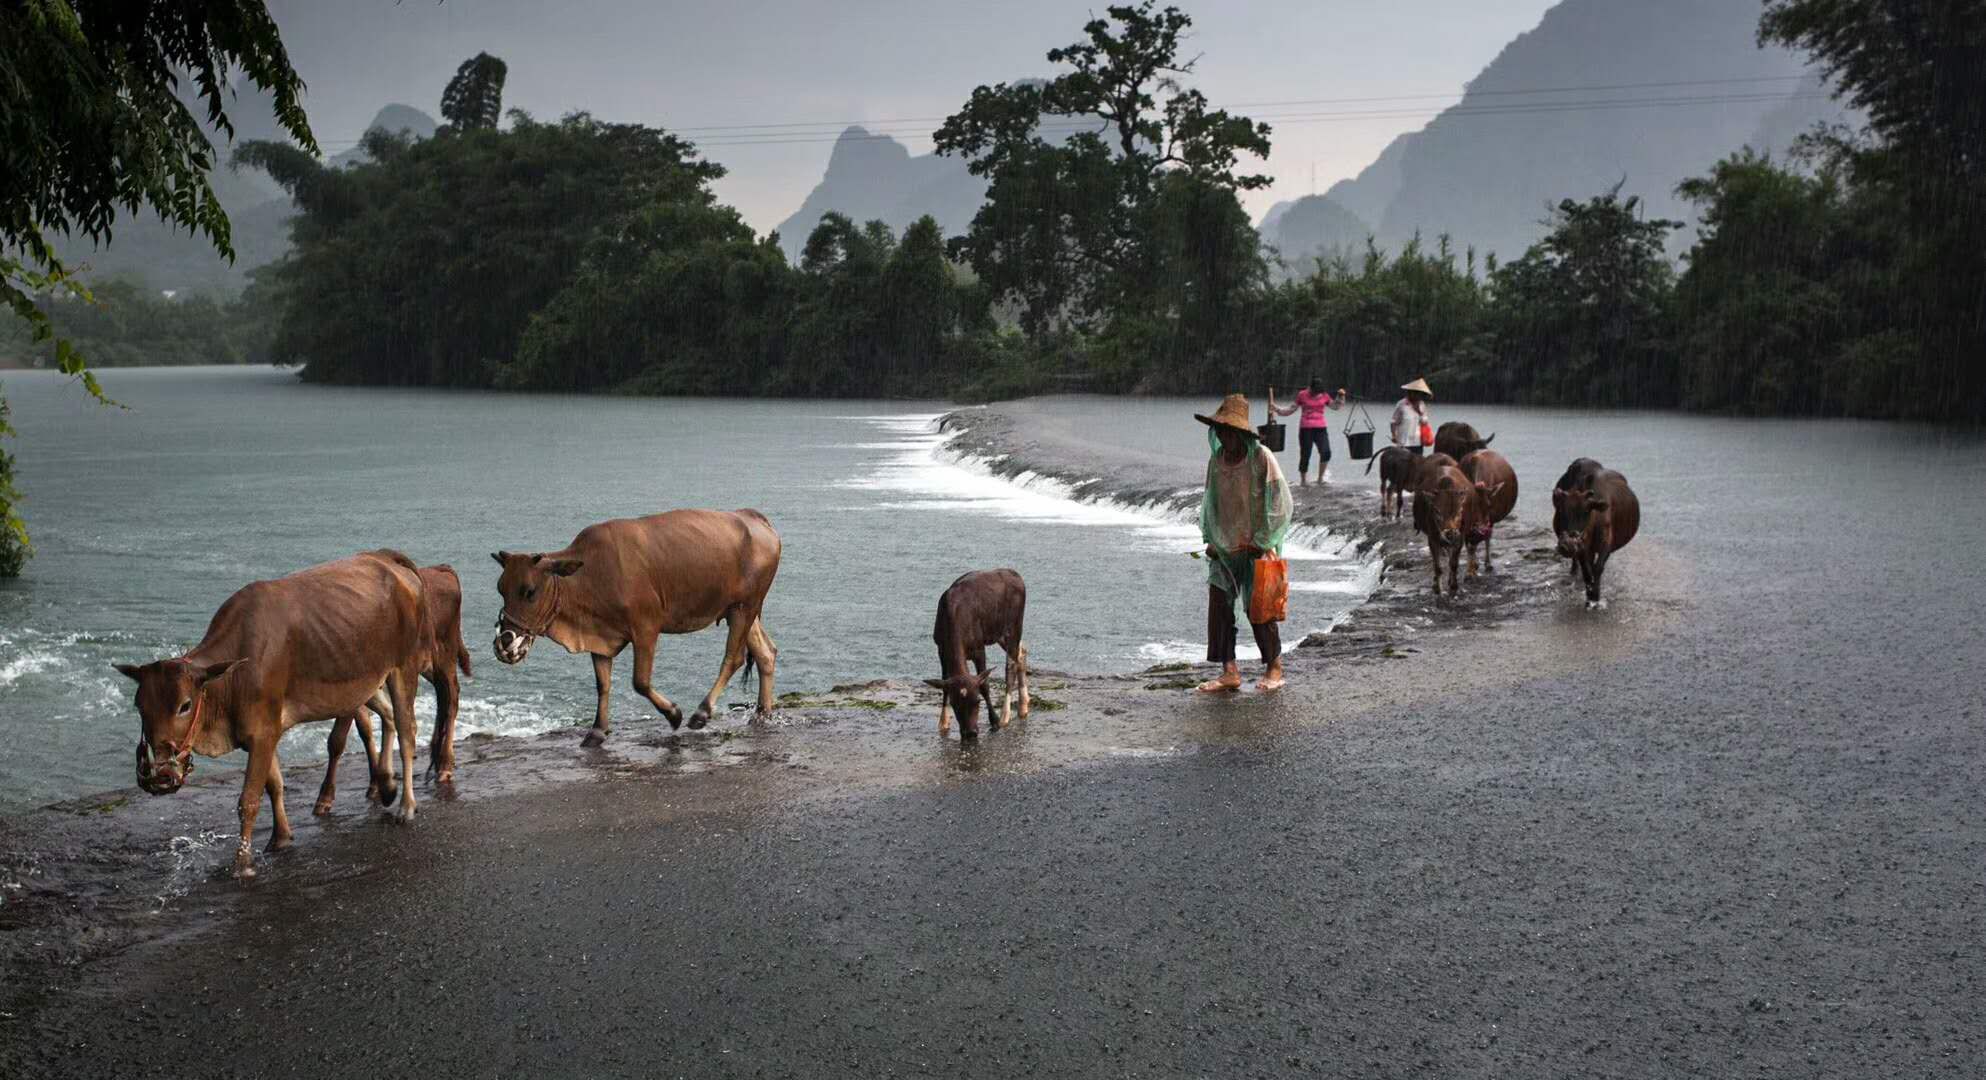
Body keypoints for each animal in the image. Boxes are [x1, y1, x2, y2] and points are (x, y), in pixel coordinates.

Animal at [315, 563, 474, 810]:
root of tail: (441, 569)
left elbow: (337, 740)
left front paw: (325, 797)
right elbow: (366, 730)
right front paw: (376, 782)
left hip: (445, 655)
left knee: (451, 699)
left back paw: (445, 765)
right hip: (427, 665)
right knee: (443, 697)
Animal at [488, 508, 782, 742]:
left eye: (530, 591)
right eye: (501, 588)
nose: (504, 642)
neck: (590, 575)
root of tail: (755, 517)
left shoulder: (646, 628)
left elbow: (640, 681)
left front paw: (674, 714)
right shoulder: (599, 637)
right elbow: (602, 685)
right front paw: (597, 731)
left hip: (745, 607)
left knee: (733, 658)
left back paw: (702, 713)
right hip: (738, 609)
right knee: (766, 652)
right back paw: (763, 714)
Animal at [921, 567, 1032, 738]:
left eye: (977, 701)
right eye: (955, 704)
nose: (971, 732)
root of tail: (1014, 573)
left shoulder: (979, 649)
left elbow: (984, 684)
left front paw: (994, 721)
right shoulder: (941, 649)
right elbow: (944, 682)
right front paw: (943, 722)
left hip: (1014, 627)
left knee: (1011, 665)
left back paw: (1005, 716)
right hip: (999, 634)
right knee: (1022, 652)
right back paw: (1023, 706)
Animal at [1414, 462, 1493, 599]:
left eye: (1460, 510)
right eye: (1437, 511)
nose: (1450, 532)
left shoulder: (1459, 537)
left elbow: (1454, 563)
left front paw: (1453, 587)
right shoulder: (1432, 538)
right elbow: (1437, 566)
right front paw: (1437, 588)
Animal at [1557, 470, 1636, 611]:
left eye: (1586, 511)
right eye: (1561, 510)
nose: (1567, 545)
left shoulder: (1606, 544)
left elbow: (1598, 568)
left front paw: (1596, 598)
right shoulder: (1583, 549)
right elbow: (1587, 573)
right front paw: (1590, 598)